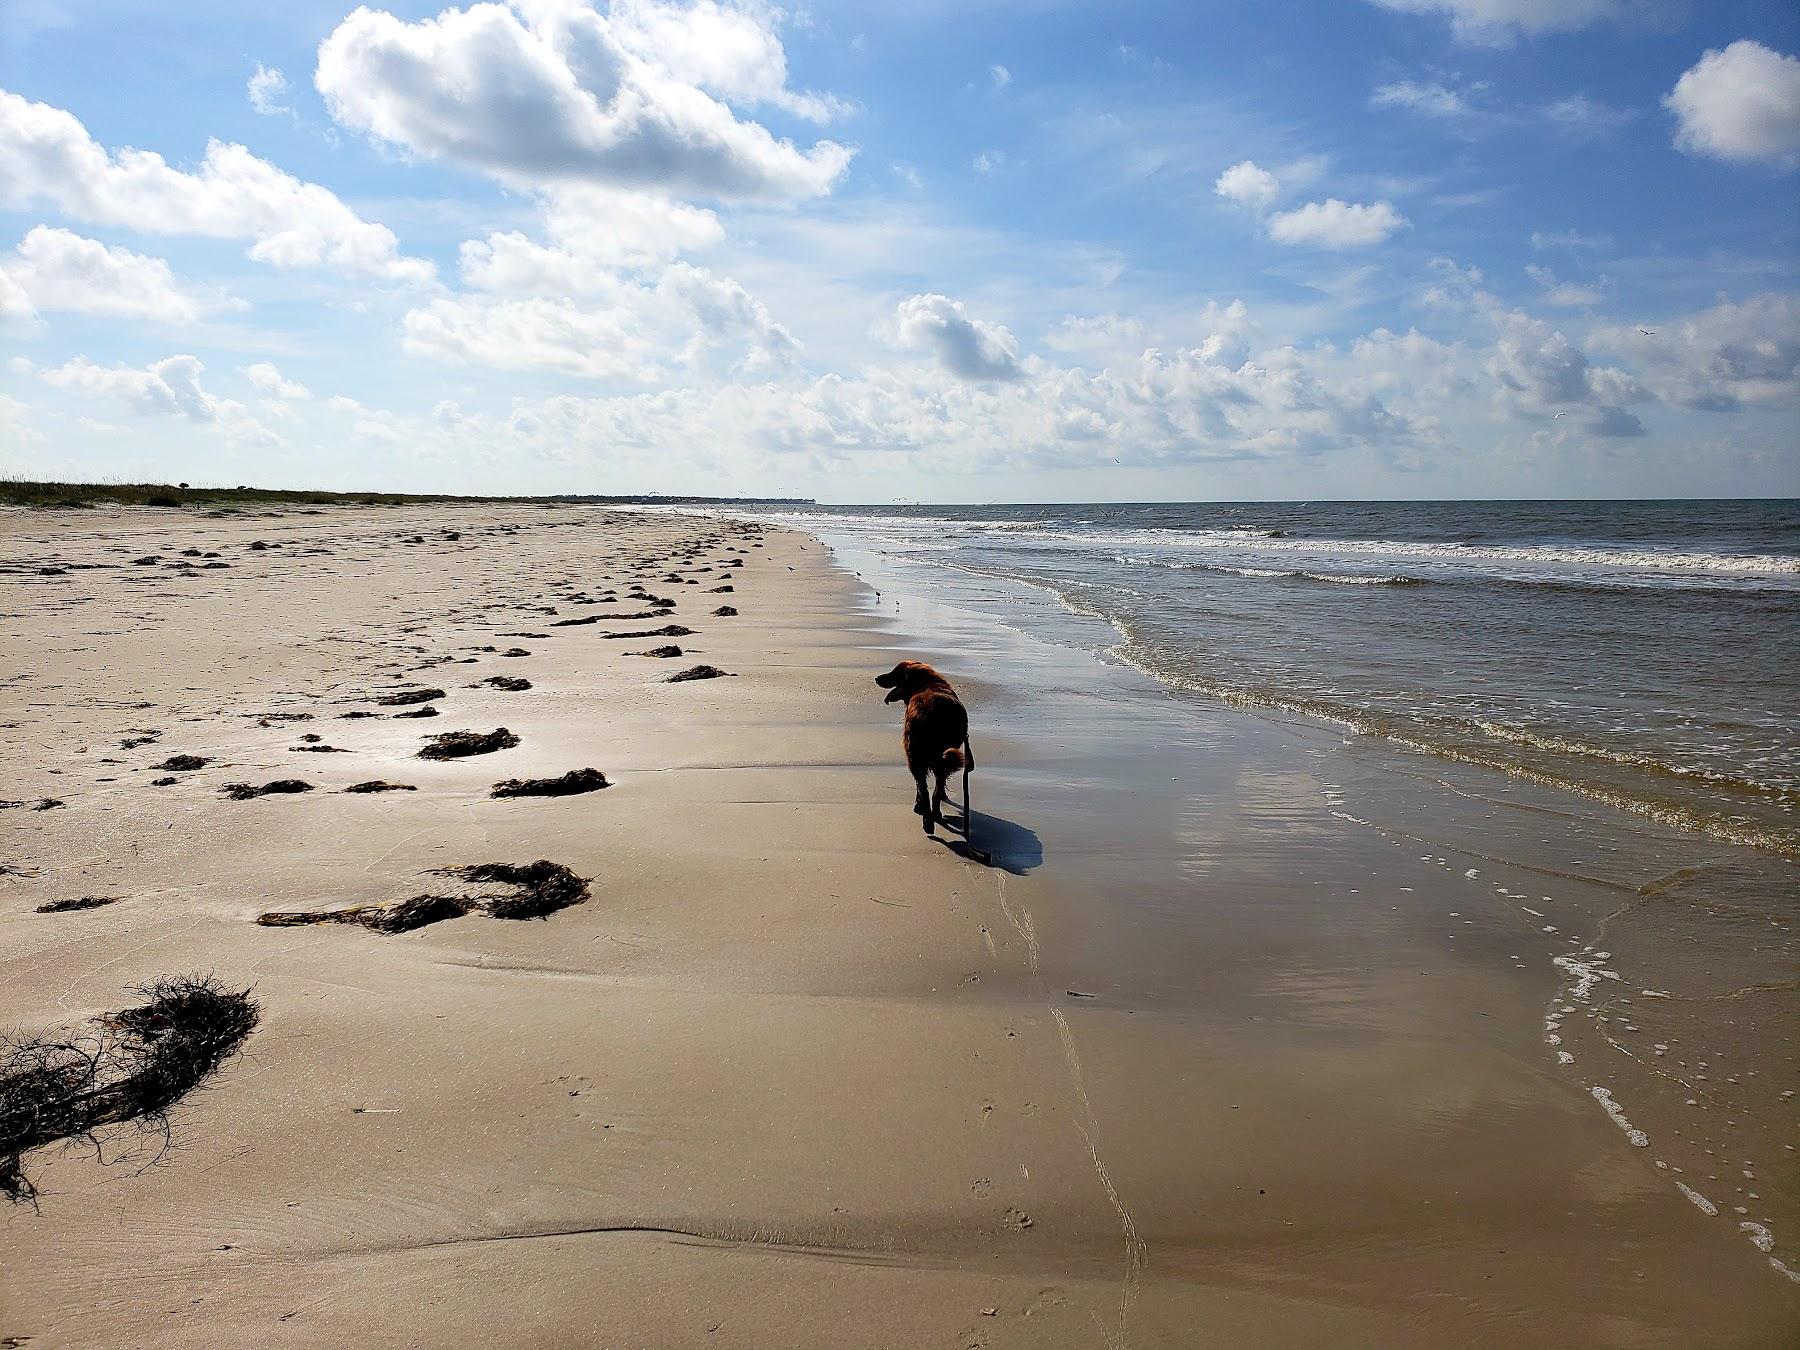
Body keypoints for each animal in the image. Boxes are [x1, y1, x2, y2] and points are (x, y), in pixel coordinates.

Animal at [871, 658, 972, 835]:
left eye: (895, 673)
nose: (877, 678)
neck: (927, 684)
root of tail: (932, 715)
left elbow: (921, 787)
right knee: (935, 789)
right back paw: (934, 816)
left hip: (914, 756)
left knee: (925, 790)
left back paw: (928, 820)